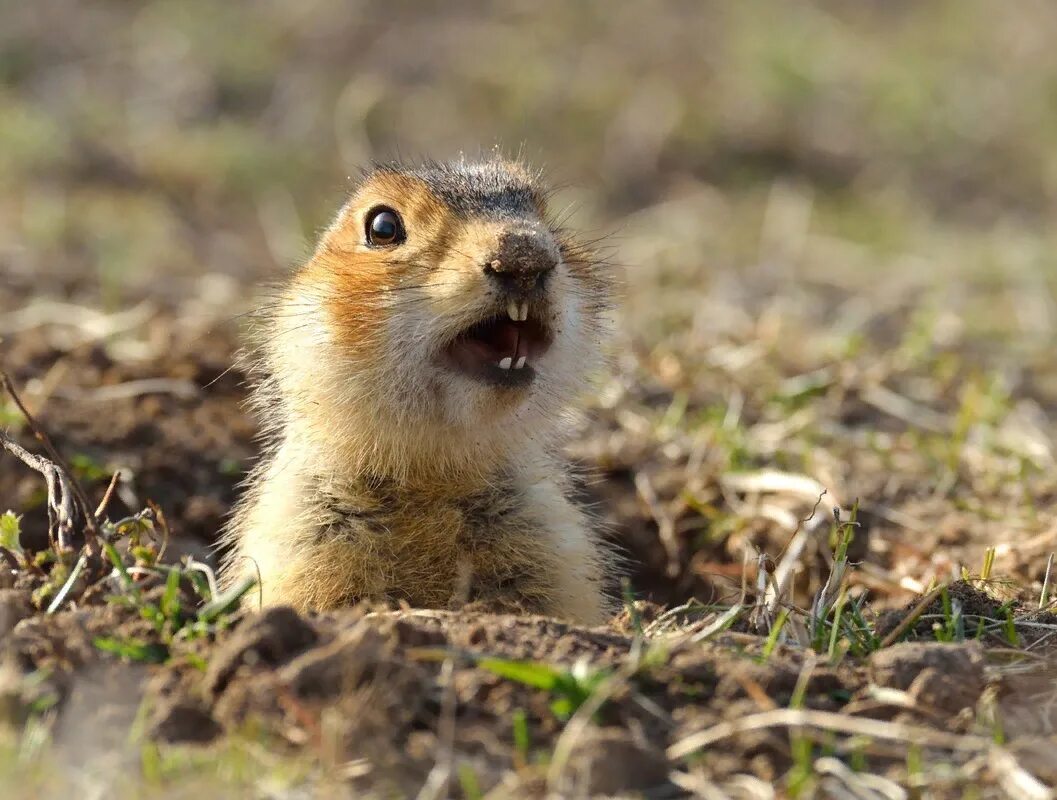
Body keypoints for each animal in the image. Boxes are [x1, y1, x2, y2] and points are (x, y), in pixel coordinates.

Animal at [220, 154, 617, 617]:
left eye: (544, 213)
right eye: (383, 226)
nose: (524, 255)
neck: (432, 470)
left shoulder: (547, 538)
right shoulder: (304, 533)